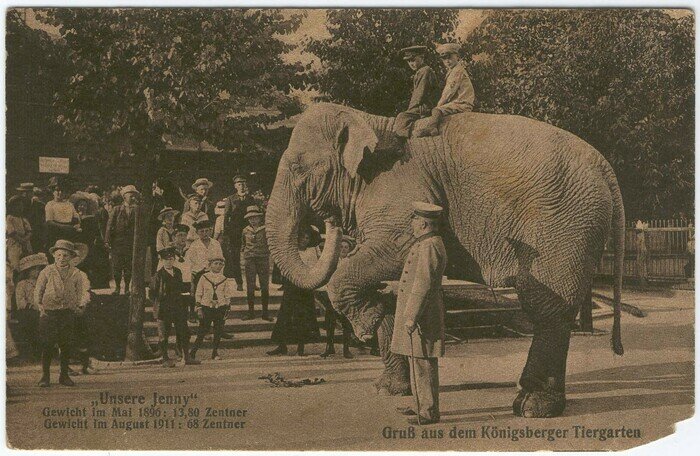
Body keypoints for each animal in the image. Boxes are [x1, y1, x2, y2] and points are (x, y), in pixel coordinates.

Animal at [266, 102, 624, 416]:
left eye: (298, 169)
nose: (328, 223)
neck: (369, 119)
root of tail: (606, 167)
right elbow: (393, 288)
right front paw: (386, 385)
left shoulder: (401, 193)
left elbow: (391, 253)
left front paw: (367, 325)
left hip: (564, 228)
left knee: (547, 309)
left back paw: (533, 407)